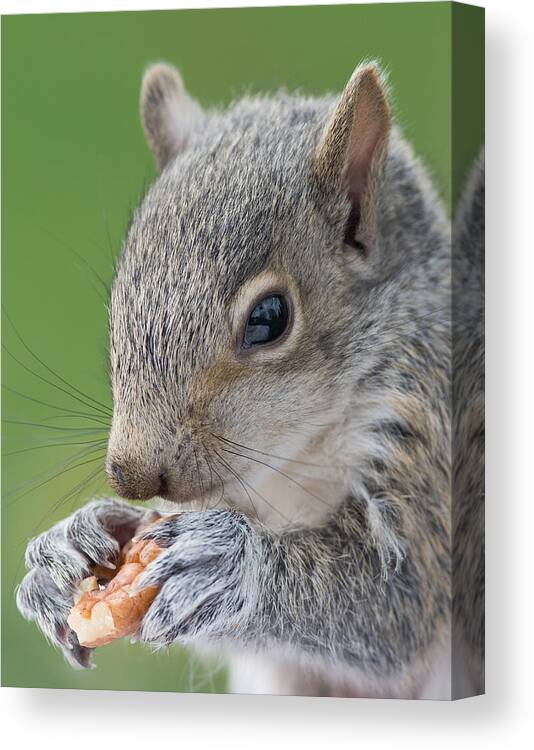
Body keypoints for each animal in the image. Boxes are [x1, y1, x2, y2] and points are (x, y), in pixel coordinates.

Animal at [16, 61, 486, 704]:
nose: (131, 476)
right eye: (118, 298)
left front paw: (232, 565)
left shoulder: (426, 427)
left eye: (269, 318)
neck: (291, 461)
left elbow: (399, 603)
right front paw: (73, 543)